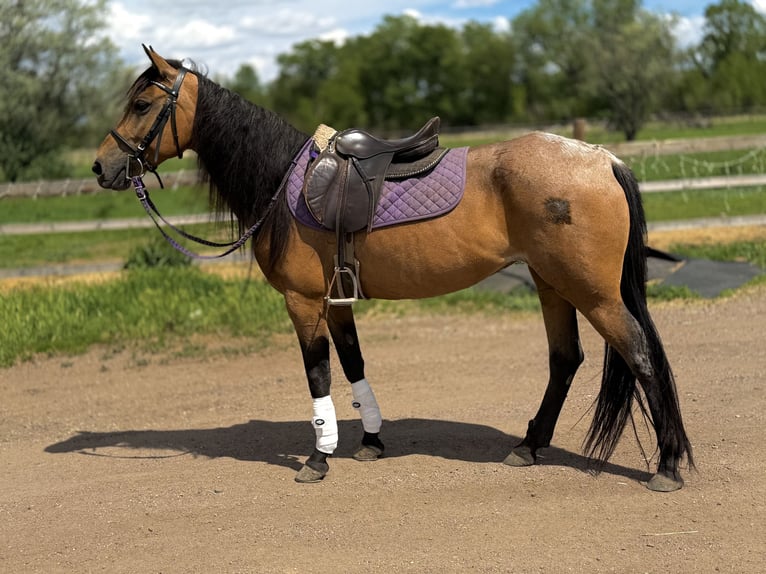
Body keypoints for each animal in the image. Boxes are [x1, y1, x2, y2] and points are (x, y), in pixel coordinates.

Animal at [92, 46, 693, 491]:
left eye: (143, 103)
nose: (102, 166)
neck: (284, 183)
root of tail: (602, 158)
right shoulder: (335, 300)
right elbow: (354, 364)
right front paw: (371, 442)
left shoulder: (303, 301)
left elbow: (318, 373)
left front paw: (318, 458)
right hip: (551, 284)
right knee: (565, 360)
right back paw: (528, 447)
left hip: (592, 293)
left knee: (639, 354)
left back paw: (666, 466)